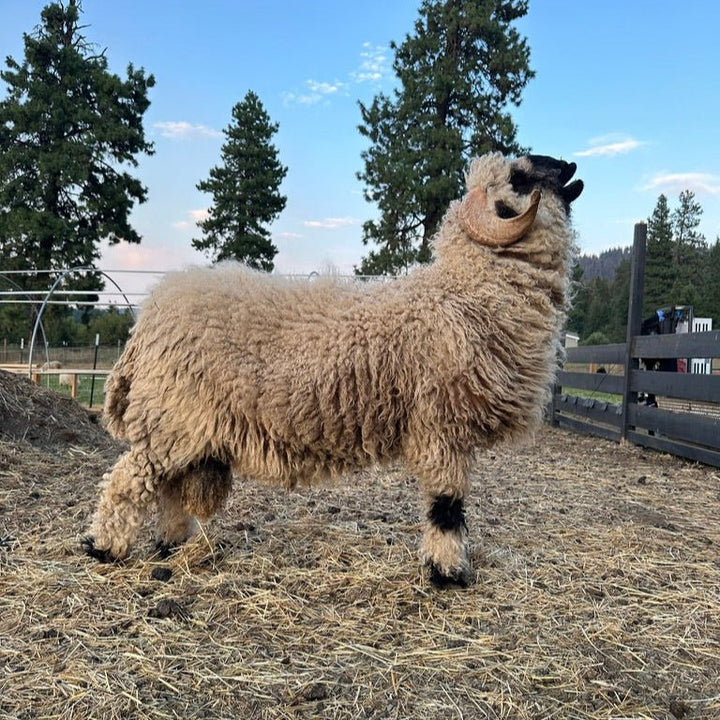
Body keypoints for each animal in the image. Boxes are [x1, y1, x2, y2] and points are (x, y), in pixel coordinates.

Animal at [84, 152, 584, 584]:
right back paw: (102, 546)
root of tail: (149, 314)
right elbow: (447, 506)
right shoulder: (442, 427)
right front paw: (449, 573)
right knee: (128, 480)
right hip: (172, 416)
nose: (571, 167)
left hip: (183, 425)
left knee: (166, 487)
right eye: (519, 176)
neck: (467, 293)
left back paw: (169, 543)